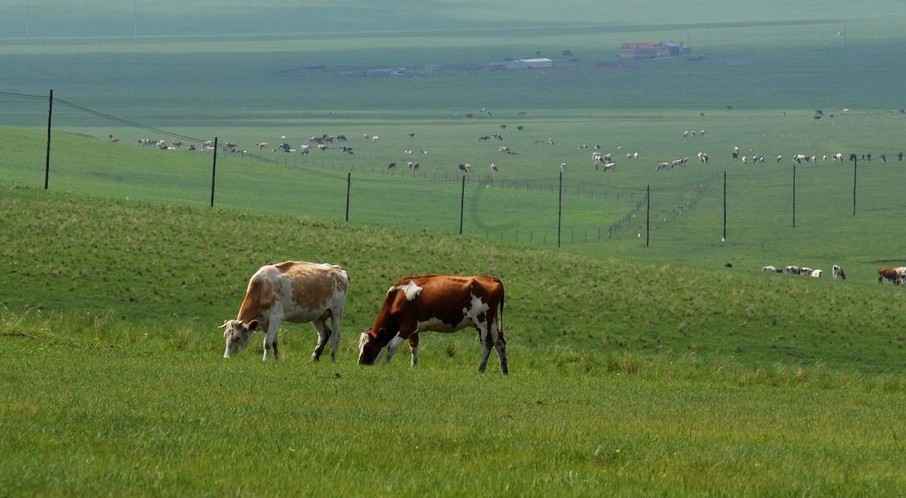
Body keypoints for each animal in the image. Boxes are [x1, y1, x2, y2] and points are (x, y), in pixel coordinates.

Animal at [354, 276, 508, 374]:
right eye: (360, 346)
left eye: (368, 347)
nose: (361, 364)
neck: (398, 296)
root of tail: (491, 278)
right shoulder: (414, 328)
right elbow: (414, 346)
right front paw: (414, 367)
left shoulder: (407, 327)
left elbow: (391, 346)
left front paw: (385, 365)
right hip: (492, 322)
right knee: (499, 342)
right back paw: (504, 371)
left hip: (482, 321)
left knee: (488, 343)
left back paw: (480, 369)